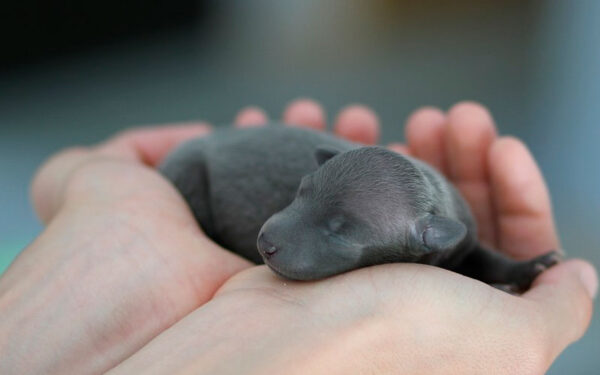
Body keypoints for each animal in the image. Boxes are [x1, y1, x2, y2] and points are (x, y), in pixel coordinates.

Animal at [159, 125, 556, 292]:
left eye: (341, 231)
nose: (265, 244)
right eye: (299, 191)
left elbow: (487, 257)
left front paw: (530, 265)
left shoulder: (463, 239)